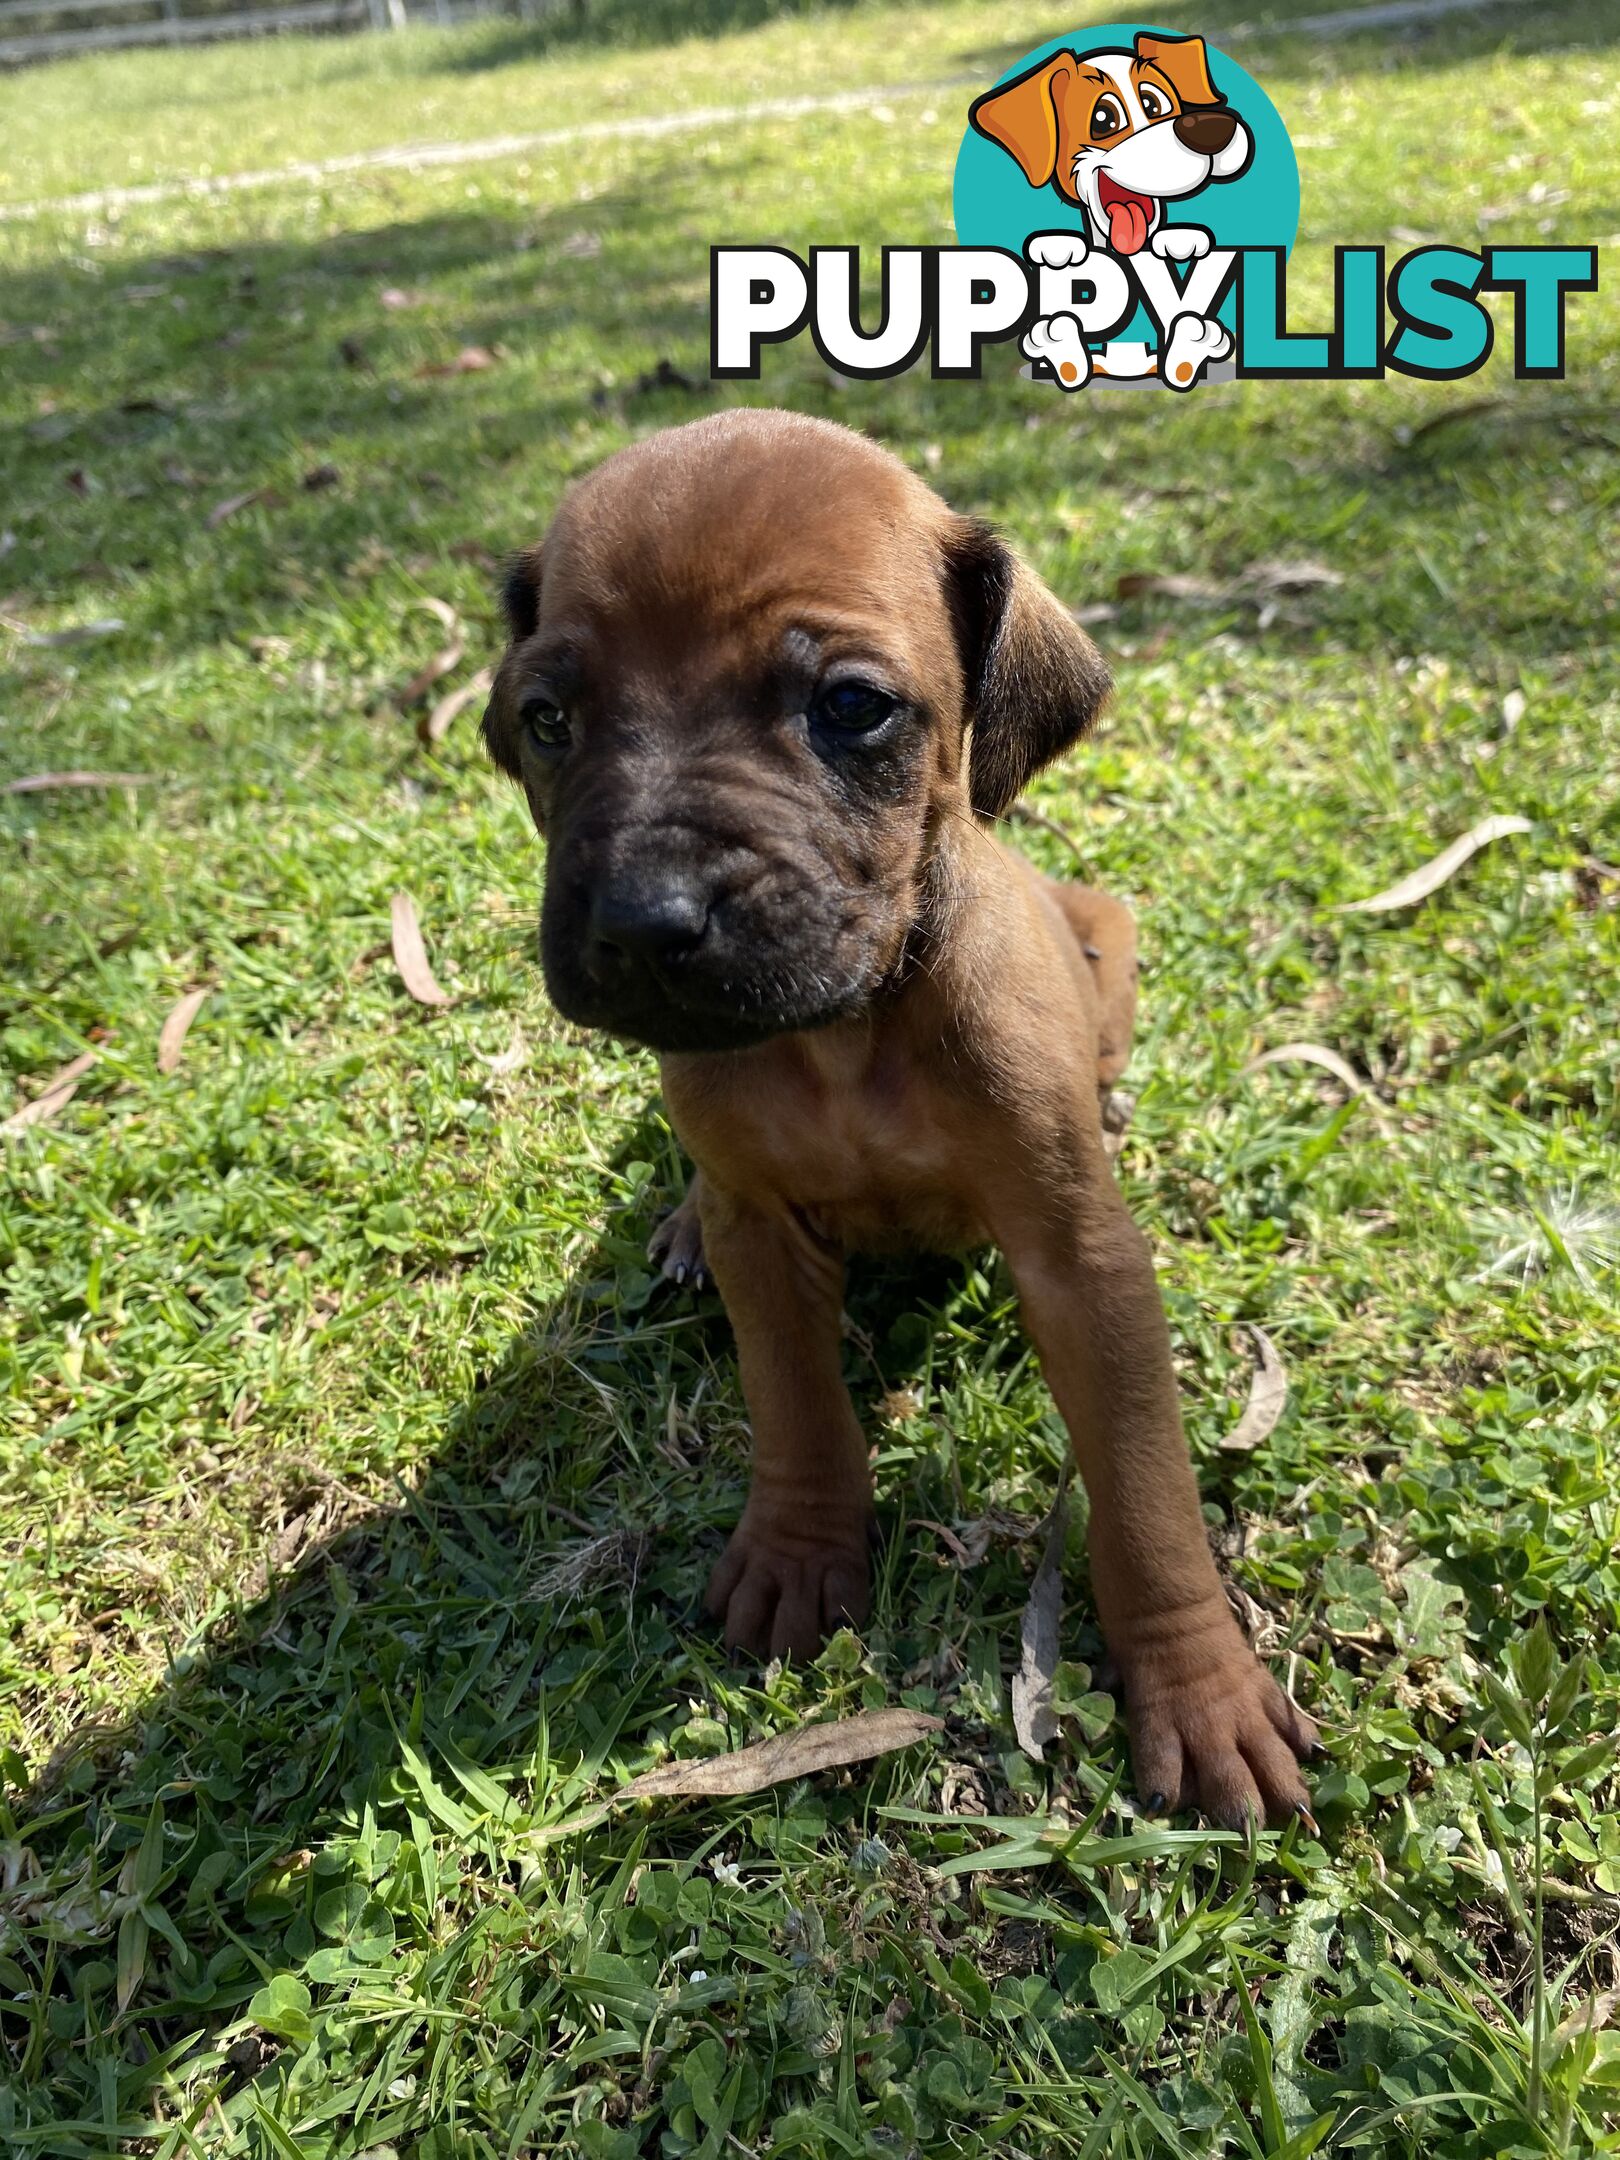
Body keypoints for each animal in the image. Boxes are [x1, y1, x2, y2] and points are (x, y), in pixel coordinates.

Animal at [481, 406, 1321, 1823]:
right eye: (548, 720)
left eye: (851, 708)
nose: (644, 923)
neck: (845, 1032)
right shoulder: (767, 1237)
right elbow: (797, 1405)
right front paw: (797, 1550)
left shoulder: (1080, 1261)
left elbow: (1146, 1493)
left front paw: (1199, 1687)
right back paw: (681, 1224)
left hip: (1108, 934)